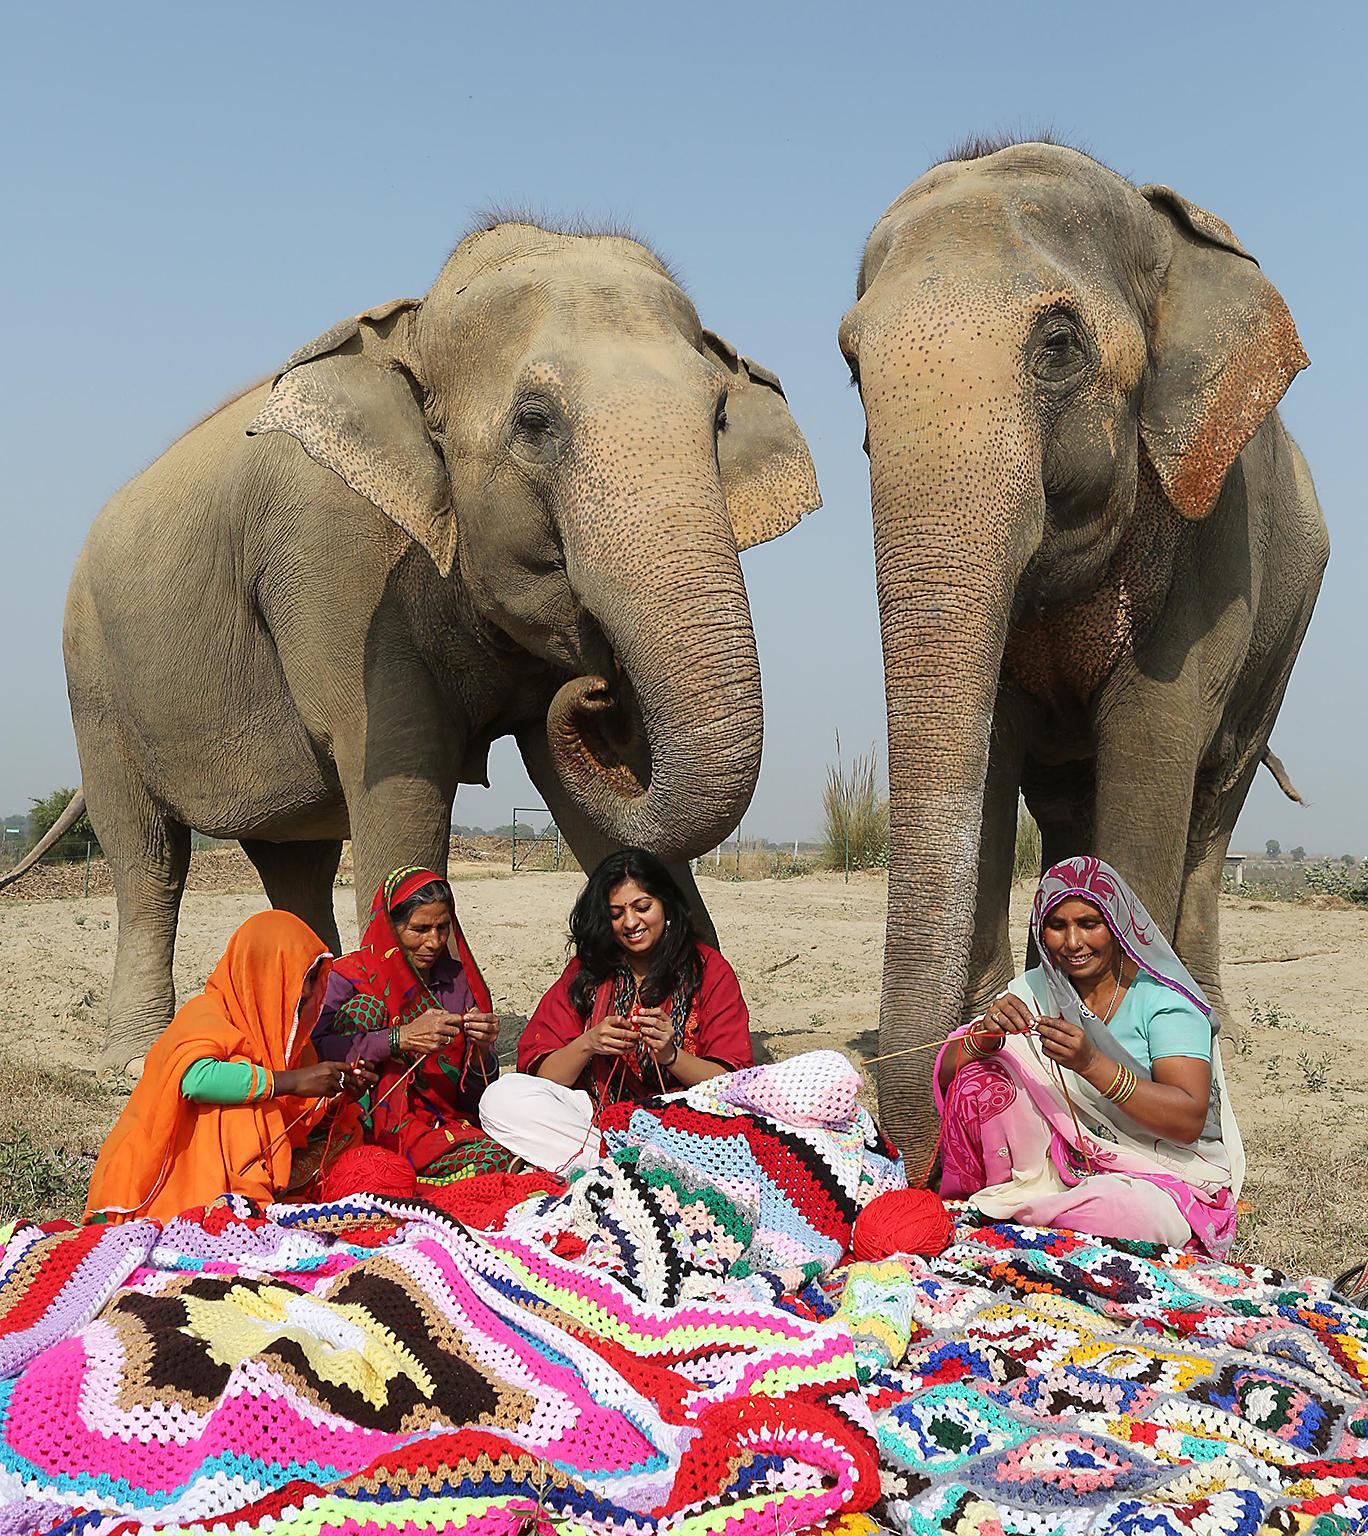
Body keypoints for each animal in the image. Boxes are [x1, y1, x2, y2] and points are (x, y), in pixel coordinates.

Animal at [21, 218, 820, 1070]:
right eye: (534, 422)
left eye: (718, 421)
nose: (602, 686)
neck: (419, 325)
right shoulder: (339, 569)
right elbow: (404, 778)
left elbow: (600, 799)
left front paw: (734, 1061)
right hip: (93, 675)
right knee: (146, 856)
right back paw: (137, 1054)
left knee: (293, 862)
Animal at [838, 140, 1327, 1160]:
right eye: (853, 366)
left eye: (1058, 344)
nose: (914, 1135)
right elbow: (992, 747)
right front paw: (998, 1017)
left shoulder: (1215, 537)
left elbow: (1151, 740)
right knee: (1068, 804)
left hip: (1291, 627)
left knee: (1215, 803)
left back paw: (1217, 1017)